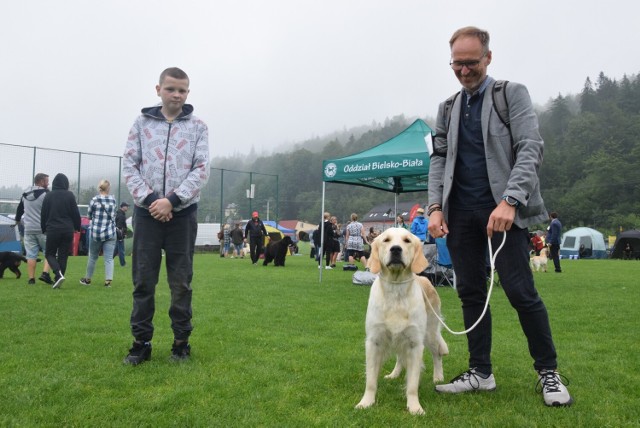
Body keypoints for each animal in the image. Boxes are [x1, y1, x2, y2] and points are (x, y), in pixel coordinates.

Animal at [356, 227, 450, 414]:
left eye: (407, 240)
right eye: (386, 240)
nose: (396, 249)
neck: (395, 290)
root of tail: (426, 279)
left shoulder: (415, 342)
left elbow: (412, 383)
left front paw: (415, 407)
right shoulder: (374, 341)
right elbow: (371, 380)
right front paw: (366, 402)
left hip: (429, 332)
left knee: (437, 354)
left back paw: (438, 377)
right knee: (400, 357)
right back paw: (394, 374)